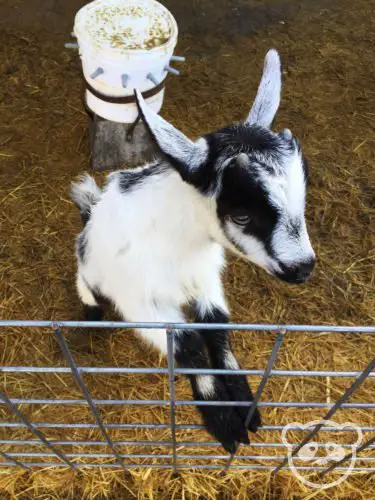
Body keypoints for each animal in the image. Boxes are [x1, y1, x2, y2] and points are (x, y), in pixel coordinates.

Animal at [71, 48, 318, 452]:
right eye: (242, 215)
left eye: (303, 197)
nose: (302, 266)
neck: (179, 247)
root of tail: (91, 211)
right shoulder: (140, 303)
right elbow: (186, 344)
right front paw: (222, 421)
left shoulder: (206, 280)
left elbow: (217, 329)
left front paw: (243, 402)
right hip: (91, 268)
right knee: (85, 284)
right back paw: (91, 311)